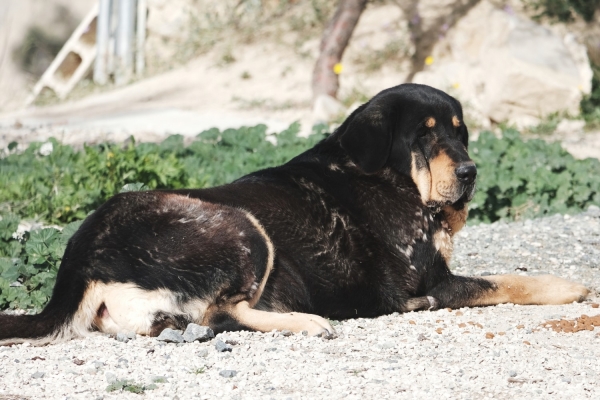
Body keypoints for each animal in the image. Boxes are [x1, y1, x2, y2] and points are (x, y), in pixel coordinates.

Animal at [0, 83, 592, 344]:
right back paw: (308, 321)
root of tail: (80, 253)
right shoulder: (428, 280)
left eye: (458, 131)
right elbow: (507, 281)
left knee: (195, 318)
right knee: (223, 313)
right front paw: (568, 286)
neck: (390, 178)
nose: (469, 171)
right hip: (242, 226)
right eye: (425, 137)